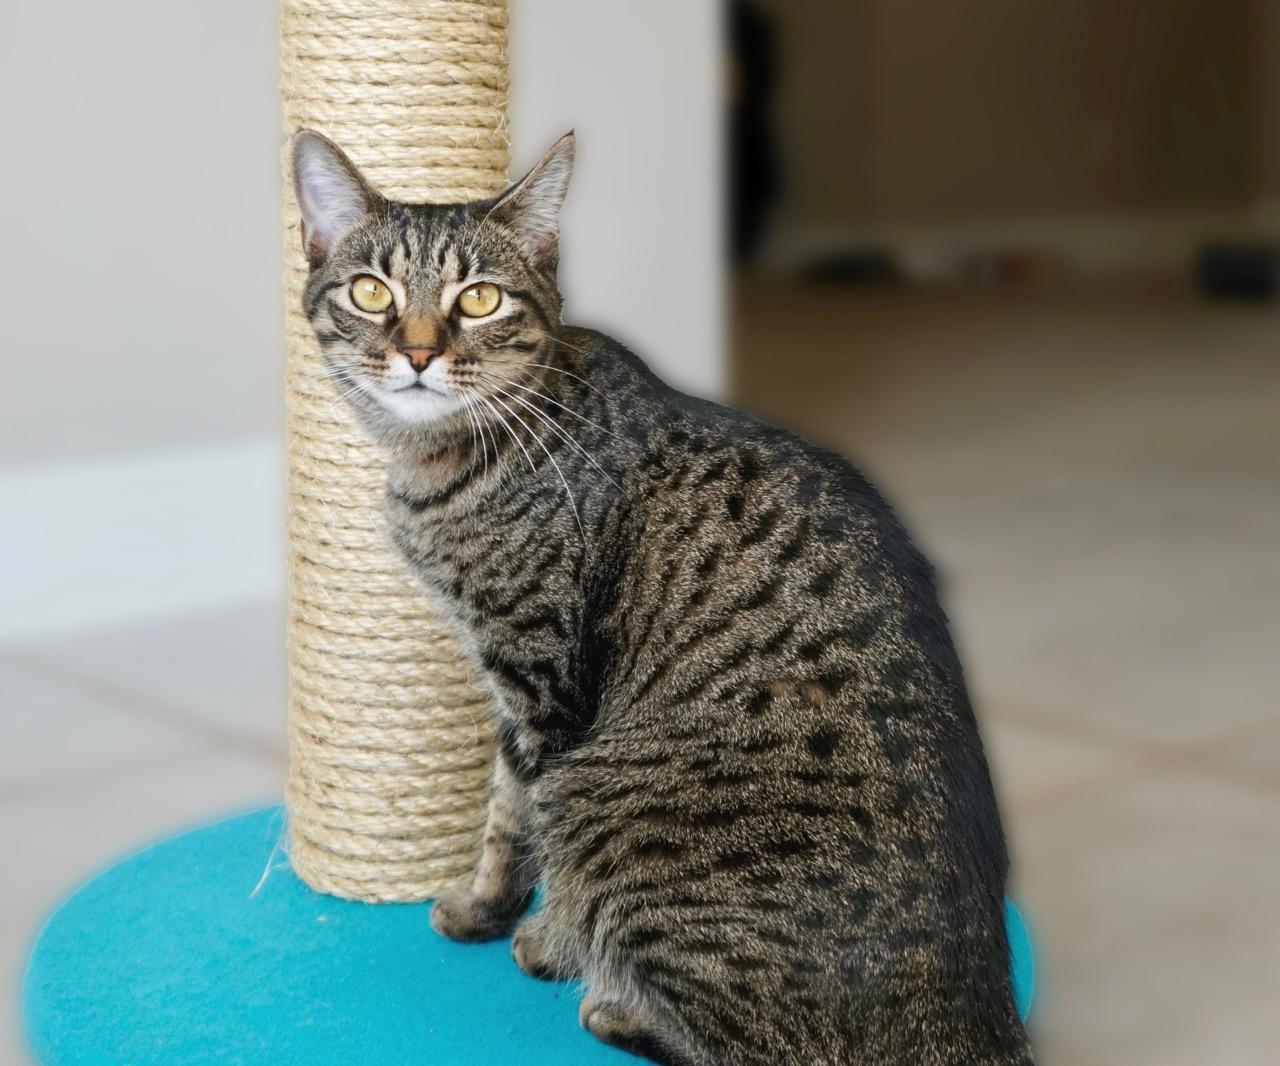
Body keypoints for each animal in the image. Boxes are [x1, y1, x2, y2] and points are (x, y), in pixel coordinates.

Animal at [294, 126, 1034, 1064]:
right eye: (370, 290)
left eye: (481, 299)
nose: (420, 353)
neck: (444, 460)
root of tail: (976, 1014)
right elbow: (507, 812)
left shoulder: (541, 681)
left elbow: (518, 817)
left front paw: (518, 929)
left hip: (600, 798)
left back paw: (612, 1004)